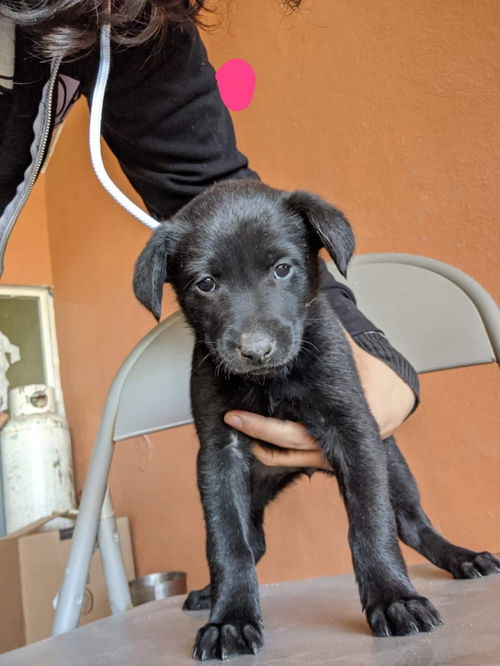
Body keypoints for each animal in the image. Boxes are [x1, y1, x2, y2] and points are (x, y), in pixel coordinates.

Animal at [133, 178, 500, 660]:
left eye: (283, 268)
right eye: (206, 283)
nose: (256, 350)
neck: (271, 380)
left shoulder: (354, 431)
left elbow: (371, 523)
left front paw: (393, 598)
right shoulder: (218, 453)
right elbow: (227, 541)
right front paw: (229, 619)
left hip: (392, 463)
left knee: (411, 523)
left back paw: (461, 557)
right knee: (253, 542)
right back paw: (210, 594)